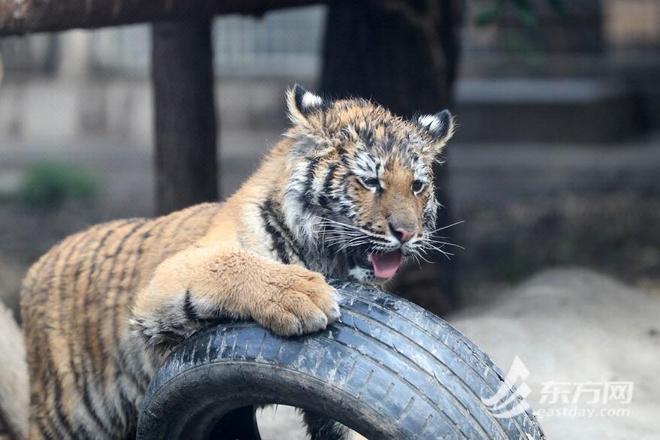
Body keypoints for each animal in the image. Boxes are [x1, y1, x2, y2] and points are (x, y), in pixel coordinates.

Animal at [6, 85, 455, 440]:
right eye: (370, 182)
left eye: (417, 186)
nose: (406, 232)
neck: (327, 260)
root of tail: (39, 262)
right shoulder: (169, 275)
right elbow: (233, 262)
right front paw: (301, 293)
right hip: (69, 416)